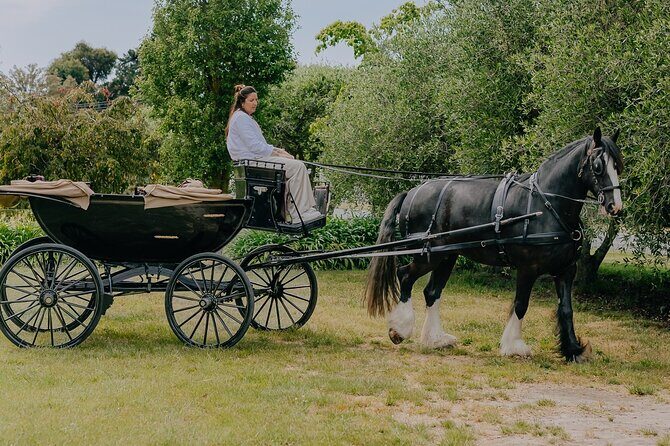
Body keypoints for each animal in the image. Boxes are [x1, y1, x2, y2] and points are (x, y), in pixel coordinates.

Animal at [364, 127, 623, 362]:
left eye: (618, 166)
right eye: (598, 166)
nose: (615, 206)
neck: (546, 205)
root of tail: (413, 192)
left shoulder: (566, 270)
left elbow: (567, 309)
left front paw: (573, 349)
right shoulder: (528, 268)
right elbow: (521, 304)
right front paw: (514, 346)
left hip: (447, 255)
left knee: (432, 292)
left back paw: (435, 339)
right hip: (428, 255)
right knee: (405, 276)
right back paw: (400, 330)